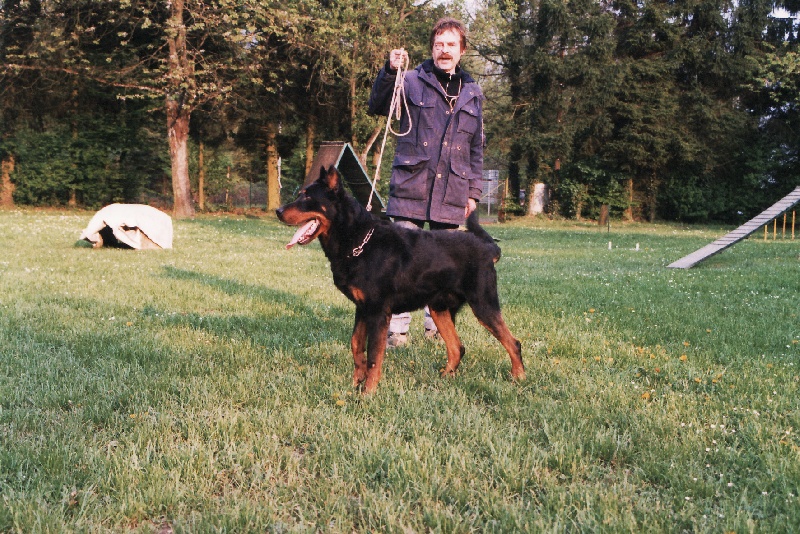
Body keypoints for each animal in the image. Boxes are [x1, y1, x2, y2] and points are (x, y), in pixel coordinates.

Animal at [276, 165, 524, 396]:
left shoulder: (378, 312)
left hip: (483, 304)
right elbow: (356, 345)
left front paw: (367, 393)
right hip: (439, 308)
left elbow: (374, 355)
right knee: (457, 347)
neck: (358, 242)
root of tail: (488, 249)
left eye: (308, 197)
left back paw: (518, 378)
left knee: (513, 343)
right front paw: (355, 383)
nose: (278, 211)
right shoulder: (362, 309)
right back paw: (444, 378)